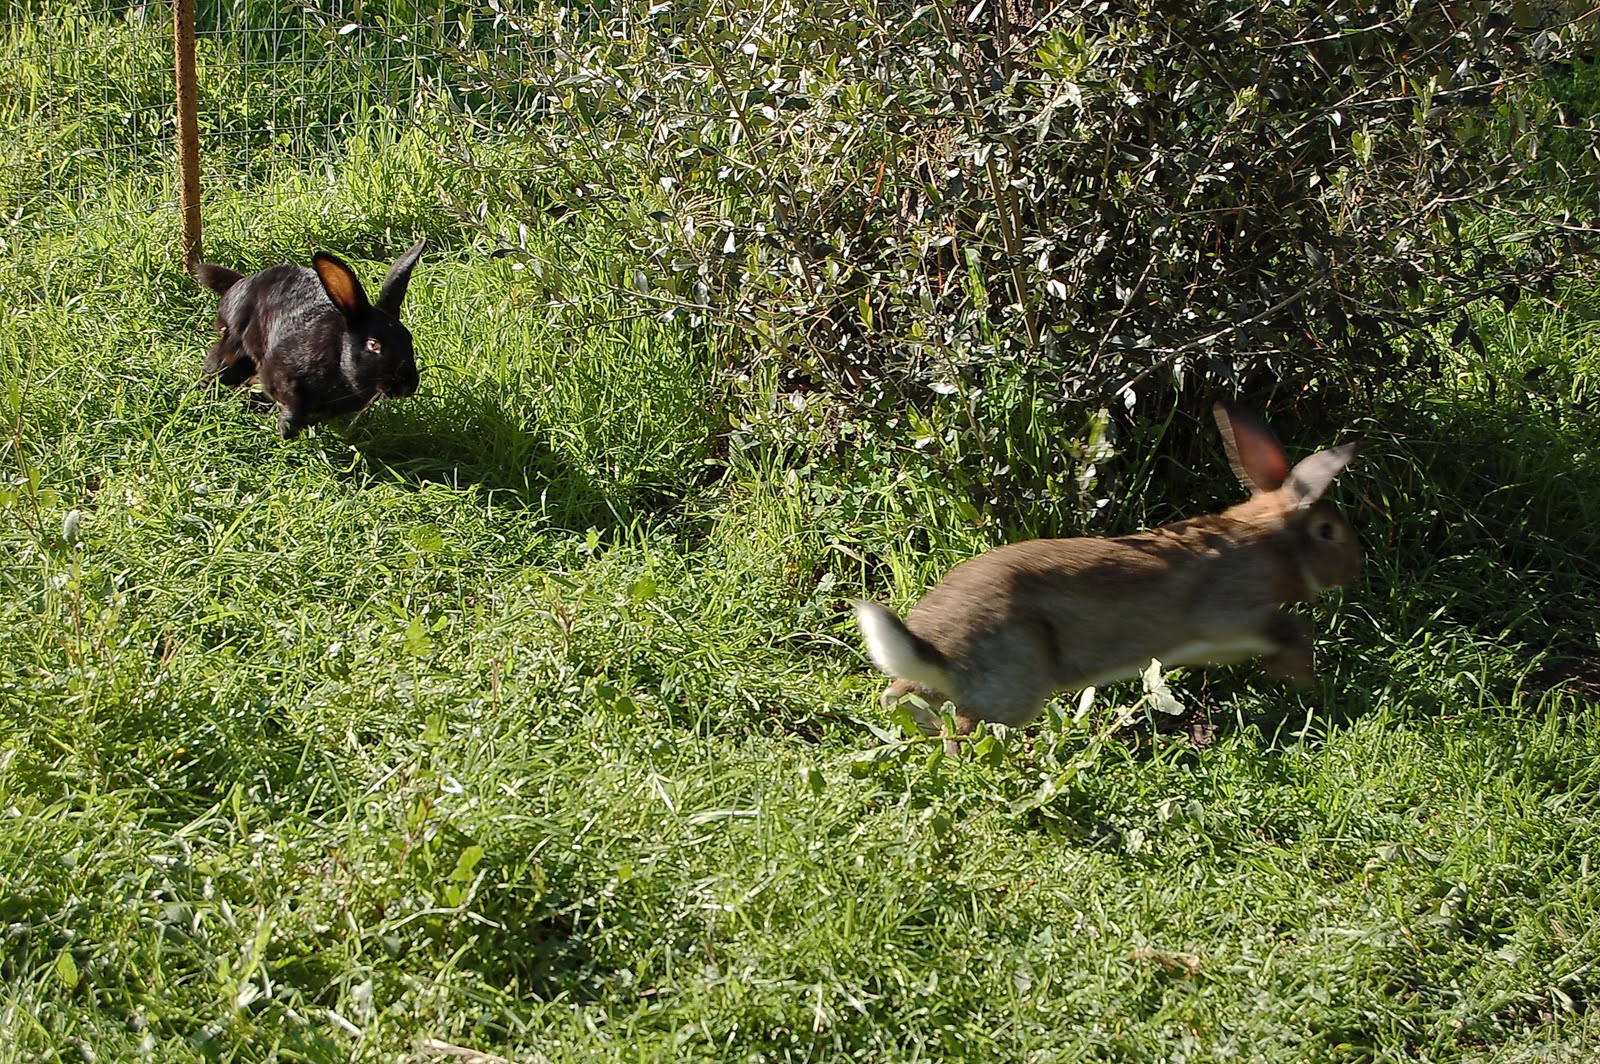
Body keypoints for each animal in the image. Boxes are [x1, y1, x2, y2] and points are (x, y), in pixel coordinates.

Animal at [196, 240, 428, 435]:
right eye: (373, 345)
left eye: (408, 338)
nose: (408, 385)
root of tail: (238, 285)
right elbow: (290, 410)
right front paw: (285, 432)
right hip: (234, 348)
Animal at [851, 398, 1363, 739]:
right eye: (1327, 531)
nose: (1354, 568)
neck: (1272, 538)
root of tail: (936, 649)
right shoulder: (1237, 613)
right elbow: (1291, 631)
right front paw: (1303, 680)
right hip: (1013, 683)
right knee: (962, 729)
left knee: (902, 698)